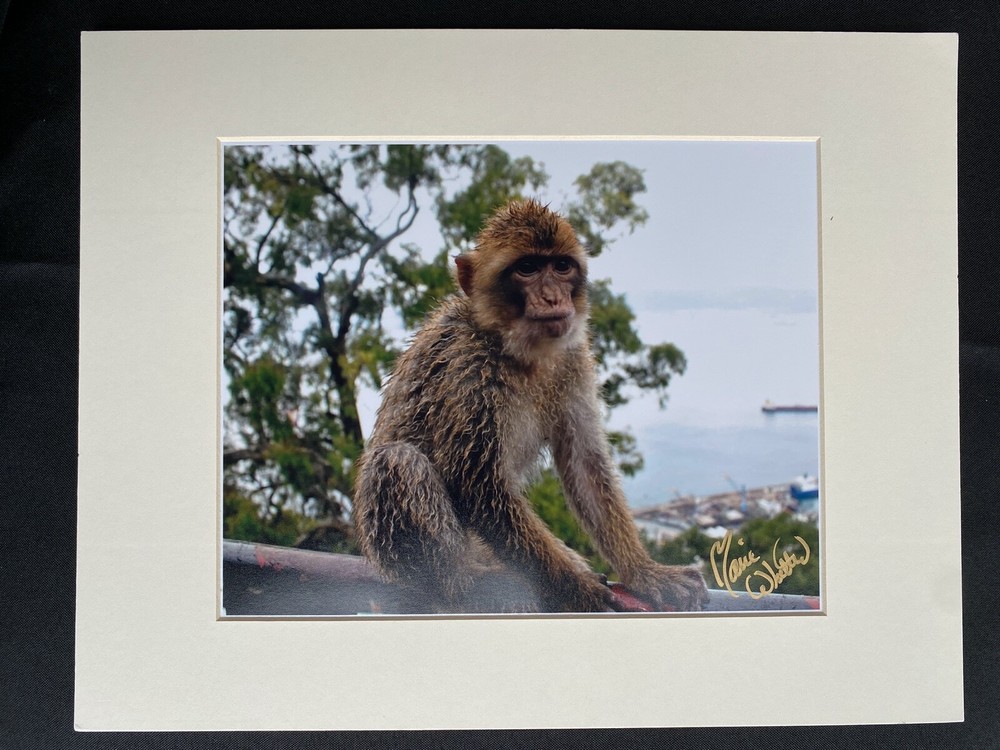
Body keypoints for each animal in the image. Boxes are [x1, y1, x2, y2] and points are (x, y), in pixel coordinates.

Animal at [353, 199, 708, 613]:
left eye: (561, 266)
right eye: (527, 268)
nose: (554, 297)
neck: (517, 351)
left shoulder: (572, 357)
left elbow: (583, 462)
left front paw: (644, 572)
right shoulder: (466, 369)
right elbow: (482, 487)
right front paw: (580, 592)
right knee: (397, 460)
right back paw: (462, 580)